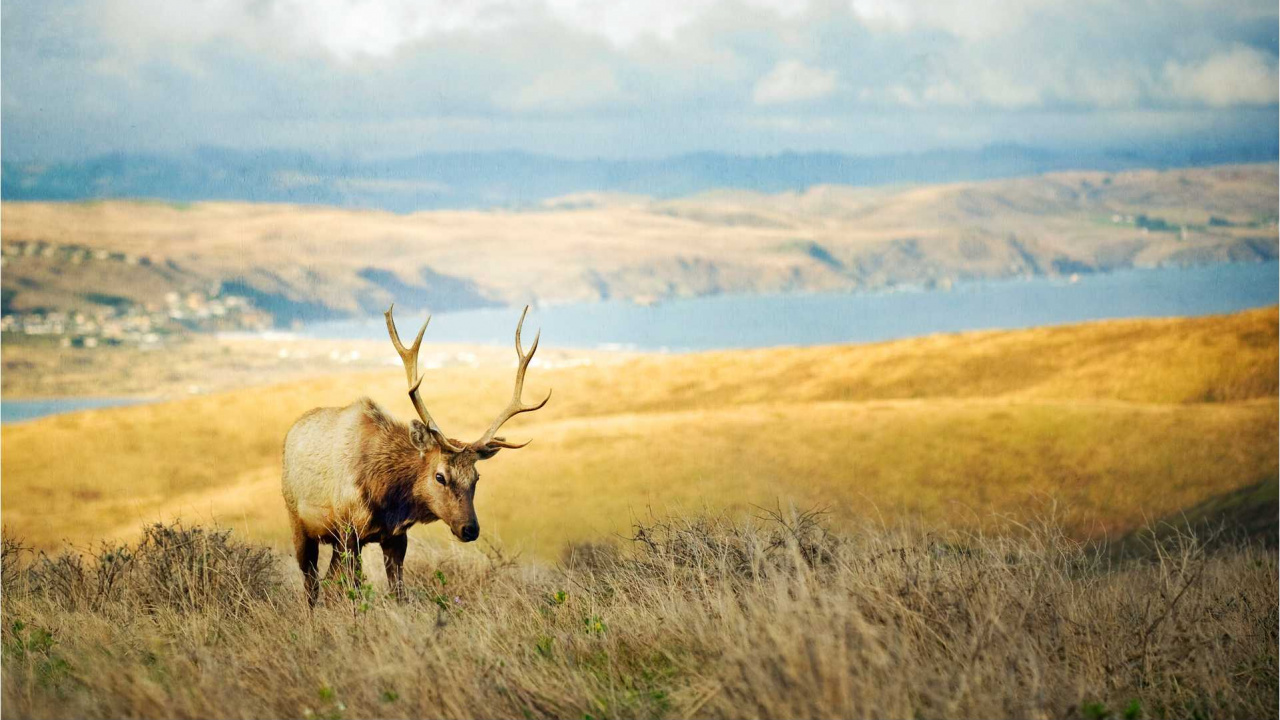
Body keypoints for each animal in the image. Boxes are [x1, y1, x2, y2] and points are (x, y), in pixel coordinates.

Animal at [281, 304, 550, 606]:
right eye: (440, 476)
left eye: (476, 478)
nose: (470, 529)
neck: (386, 496)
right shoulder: (349, 530)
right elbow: (355, 592)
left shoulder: (396, 537)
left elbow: (399, 592)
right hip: (298, 521)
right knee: (311, 584)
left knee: (326, 580)